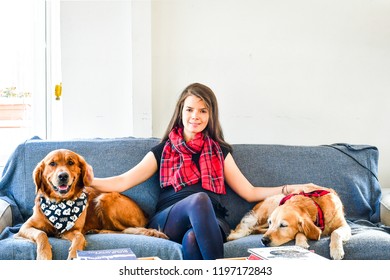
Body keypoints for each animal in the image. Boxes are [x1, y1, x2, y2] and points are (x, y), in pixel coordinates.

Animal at [15, 149, 168, 260]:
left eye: (71, 162)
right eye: (52, 164)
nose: (63, 176)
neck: (59, 203)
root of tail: (145, 214)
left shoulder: (73, 229)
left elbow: (79, 237)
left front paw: (74, 254)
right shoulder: (25, 227)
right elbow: (41, 234)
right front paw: (44, 255)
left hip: (105, 198)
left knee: (124, 230)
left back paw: (99, 230)